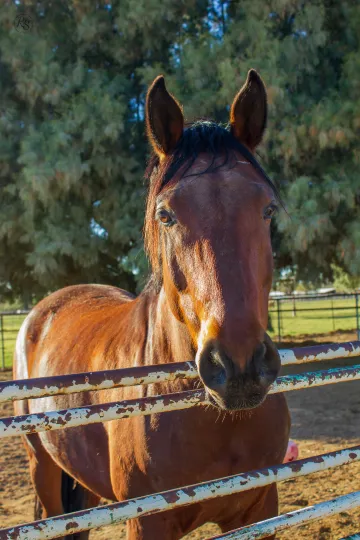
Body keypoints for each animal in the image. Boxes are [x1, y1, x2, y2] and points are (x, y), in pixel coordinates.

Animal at [12, 69, 292, 536]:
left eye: (267, 209)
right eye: (166, 215)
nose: (239, 367)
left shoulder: (261, 508)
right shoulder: (147, 523)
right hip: (43, 469)